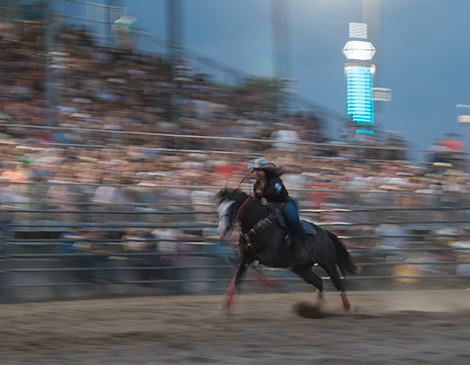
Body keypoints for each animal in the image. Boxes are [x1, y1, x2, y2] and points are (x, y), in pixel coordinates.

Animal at [218, 188, 360, 312]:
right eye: (219, 208)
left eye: (232, 208)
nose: (223, 230)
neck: (259, 222)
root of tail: (326, 233)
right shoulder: (245, 256)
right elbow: (237, 276)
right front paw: (226, 305)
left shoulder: (266, 256)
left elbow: (250, 266)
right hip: (301, 268)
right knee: (319, 282)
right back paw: (315, 309)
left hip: (328, 263)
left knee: (337, 283)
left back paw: (347, 307)